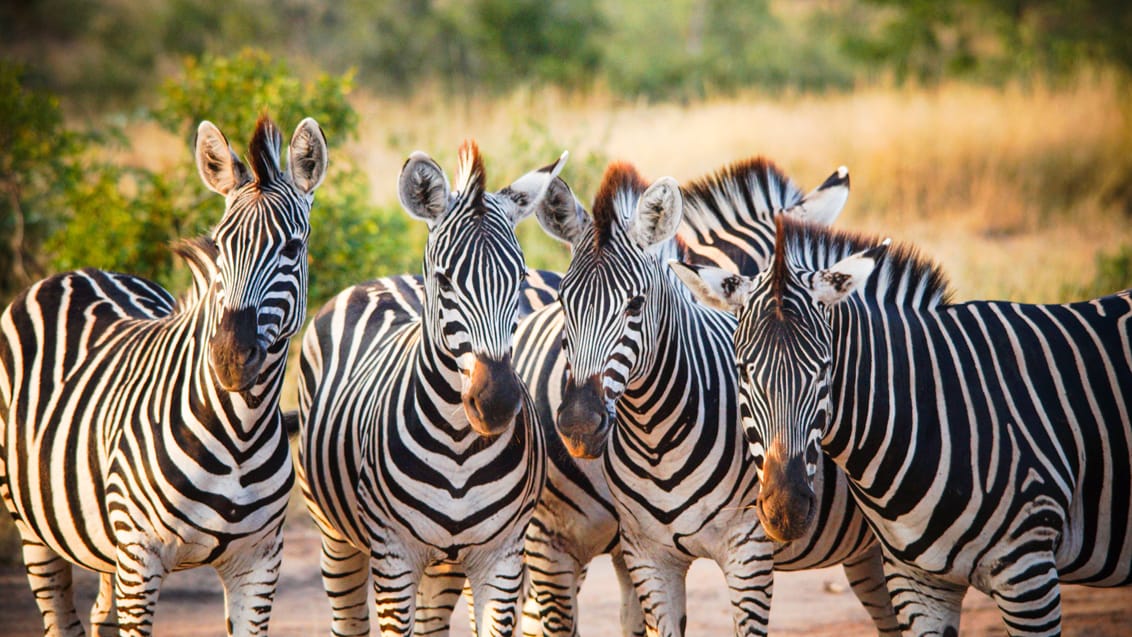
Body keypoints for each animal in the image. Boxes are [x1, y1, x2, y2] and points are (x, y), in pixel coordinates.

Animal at [0, 115, 328, 637]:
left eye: (292, 248)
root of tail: (76, 273)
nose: (230, 359)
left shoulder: (259, 562)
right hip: (33, 526)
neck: (240, 434)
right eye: (220, 245)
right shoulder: (140, 558)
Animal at [294, 141, 575, 633]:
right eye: (445, 280)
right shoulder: (394, 557)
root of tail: (383, 280)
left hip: (443, 566)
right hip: (334, 536)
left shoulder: (502, 557)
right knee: (348, 618)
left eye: (521, 277)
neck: (459, 447)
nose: (497, 402)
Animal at [532, 161, 901, 633]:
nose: (579, 423)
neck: (656, 435)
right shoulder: (634, 552)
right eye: (564, 300)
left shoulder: (747, 548)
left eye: (635, 305)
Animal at [670, 217, 1132, 633]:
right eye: (742, 370)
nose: (787, 511)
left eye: (825, 369)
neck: (931, 412)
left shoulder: (1028, 569)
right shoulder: (920, 585)